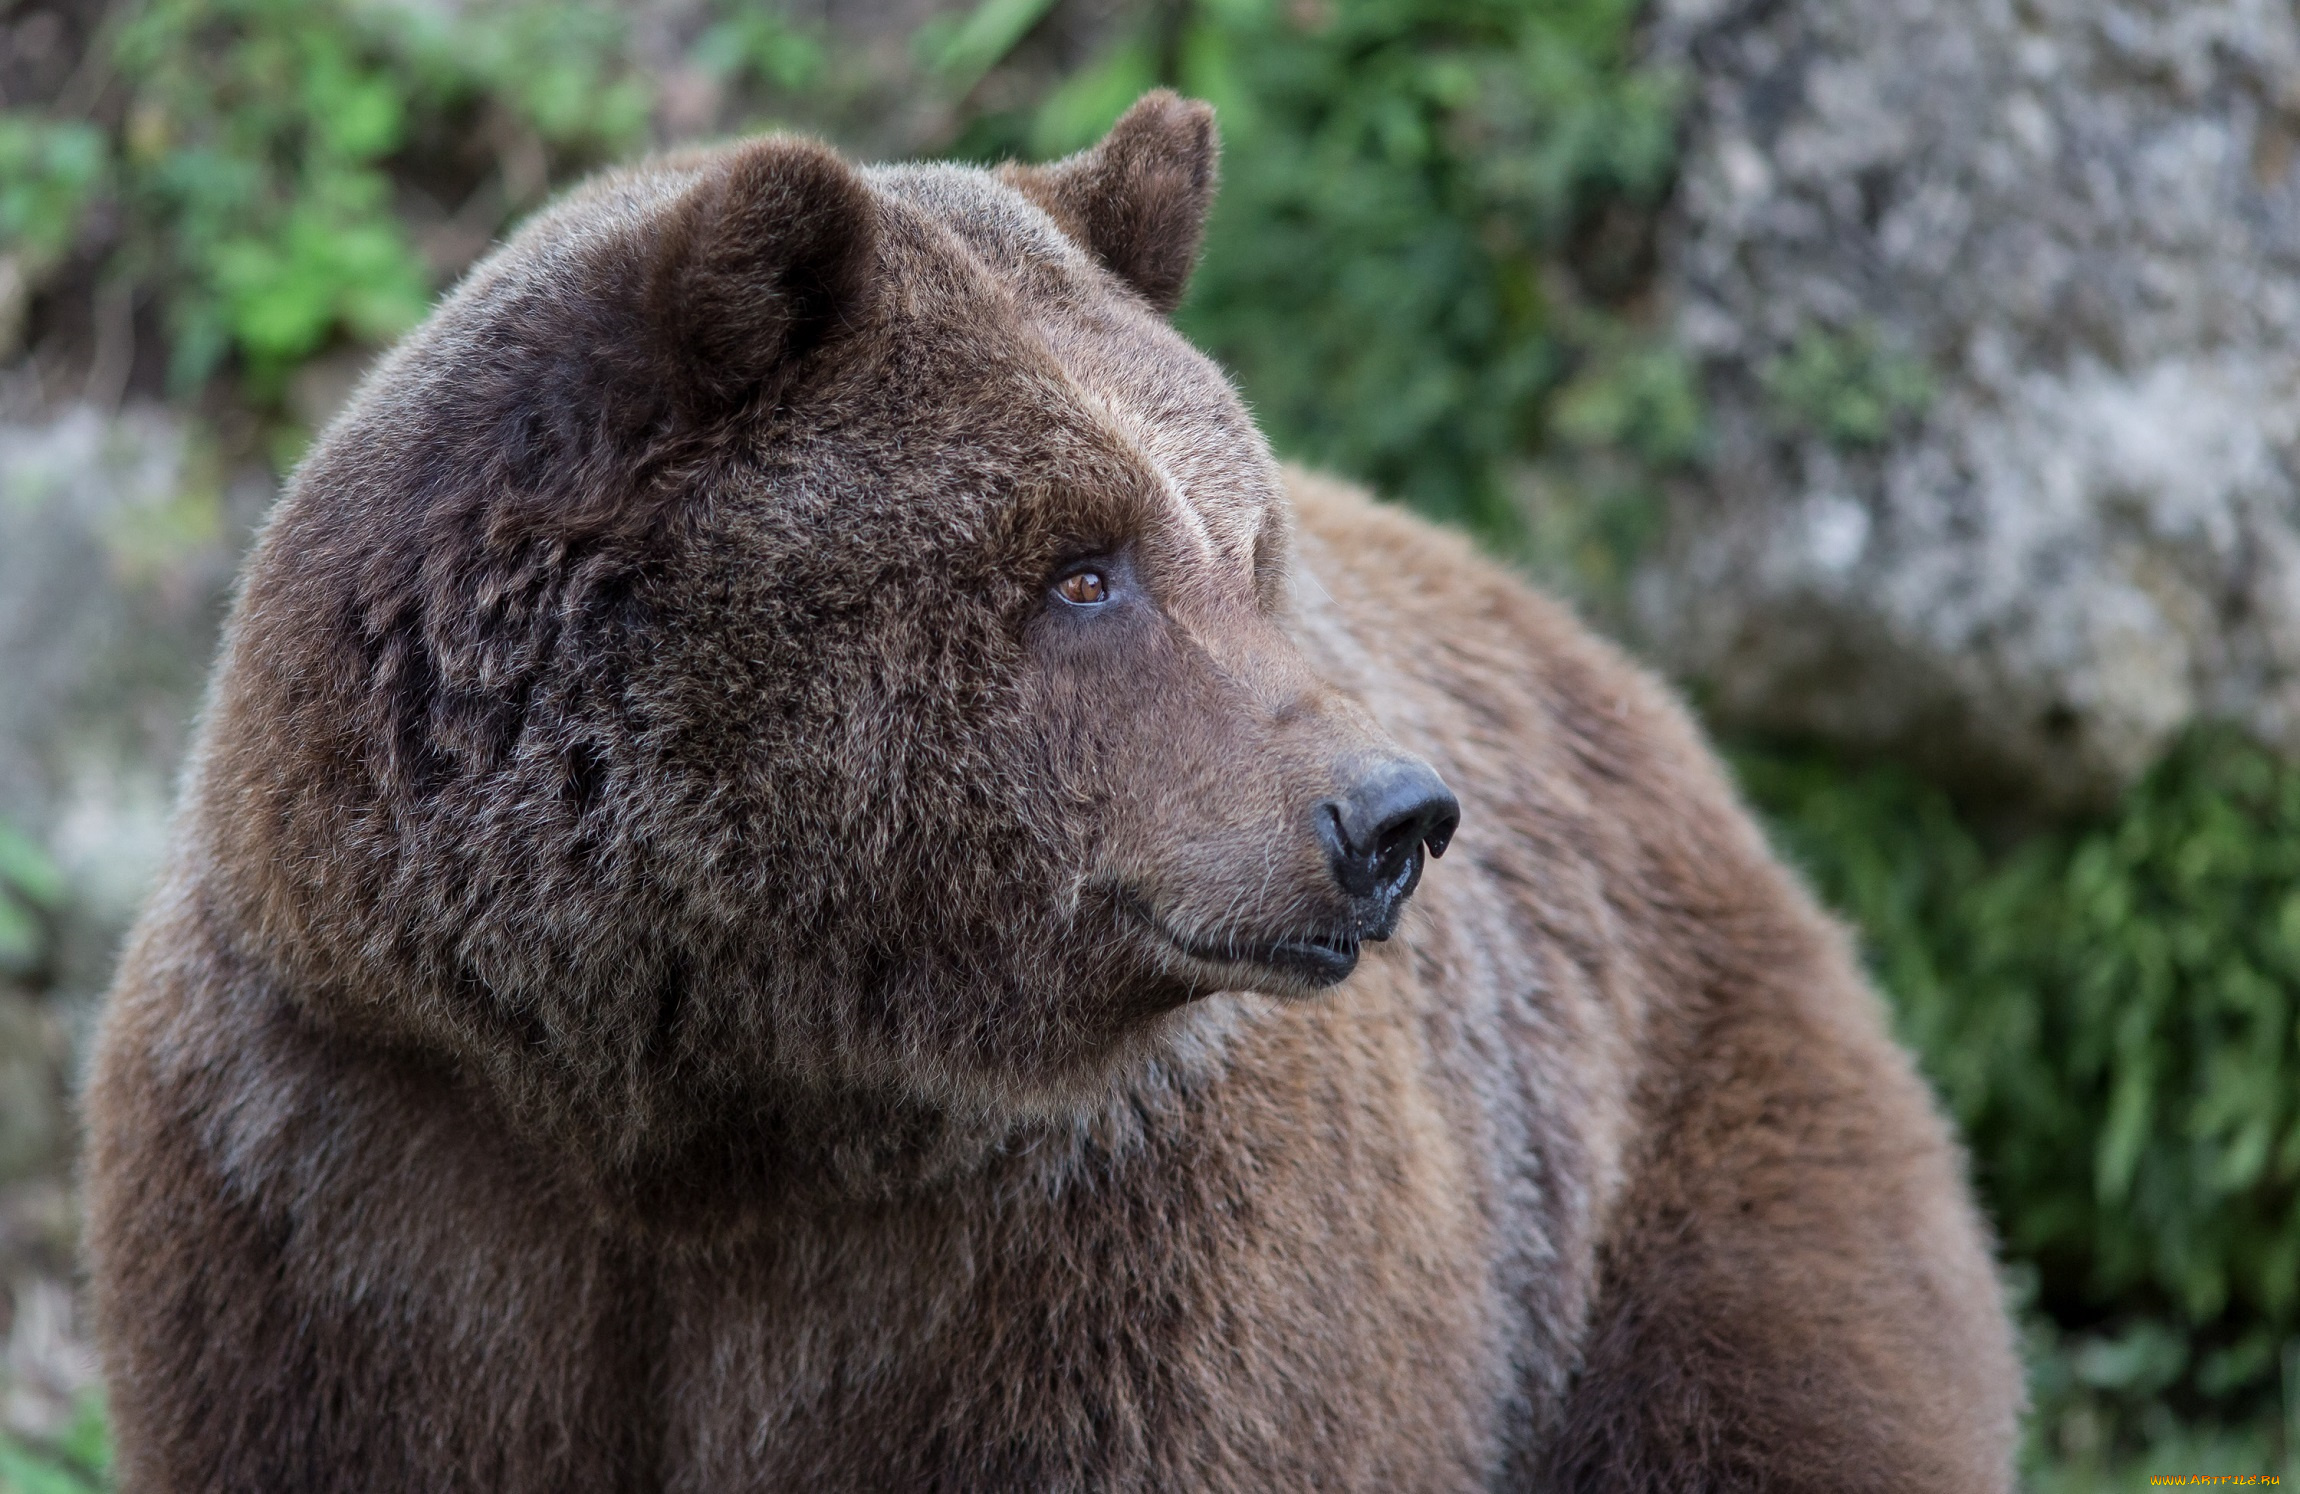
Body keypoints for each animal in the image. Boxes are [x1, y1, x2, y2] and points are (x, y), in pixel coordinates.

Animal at [81, 95, 2024, 1489]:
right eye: (1082, 567)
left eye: (1246, 546)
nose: (1391, 815)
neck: (705, 1083)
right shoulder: (360, 1198)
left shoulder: (1106, 1275)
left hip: (1678, 1186)